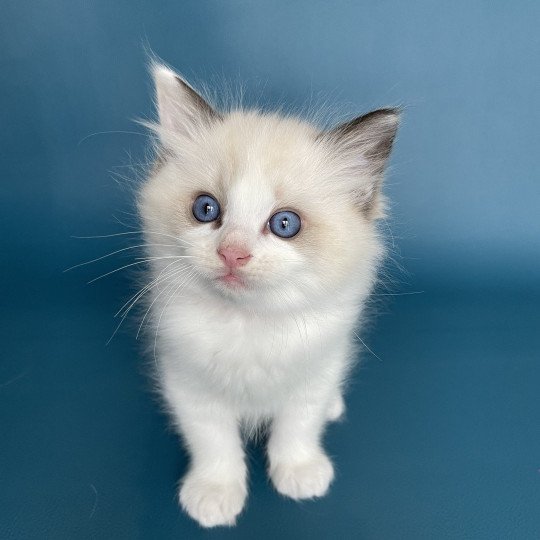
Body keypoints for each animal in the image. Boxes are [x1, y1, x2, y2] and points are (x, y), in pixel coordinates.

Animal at [137, 64, 398, 528]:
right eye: (206, 209)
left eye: (285, 224)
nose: (232, 253)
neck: (249, 323)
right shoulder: (188, 383)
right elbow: (213, 440)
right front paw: (215, 493)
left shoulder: (314, 372)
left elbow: (298, 426)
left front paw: (300, 472)